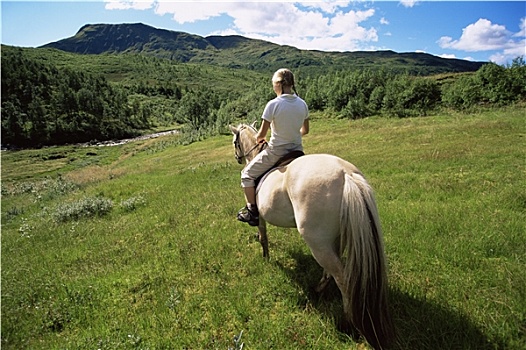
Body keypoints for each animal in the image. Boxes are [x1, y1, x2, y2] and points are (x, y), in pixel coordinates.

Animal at [229, 122, 394, 348]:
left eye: (234, 142)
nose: (237, 158)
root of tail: (346, 175)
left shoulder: (260, 216)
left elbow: (263, 237)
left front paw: (266, 258)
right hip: (333, 239)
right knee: (332, 269)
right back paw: (318, 289)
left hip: (317, 241)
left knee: (342, 277)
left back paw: (348, 322)